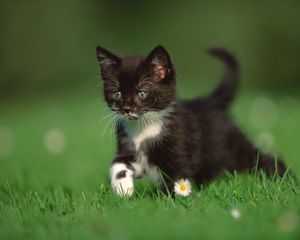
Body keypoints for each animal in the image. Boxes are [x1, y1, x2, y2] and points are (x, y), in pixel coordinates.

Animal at [95, 45, 286, 197]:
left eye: (142, 93)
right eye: (117, 94)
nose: (126, 108)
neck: (144, 127)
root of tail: (210, 101)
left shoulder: (179, 153)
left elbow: (176, 181)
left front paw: (167, 201)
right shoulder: (129, 147)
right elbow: (118, 164)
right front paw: (122, 189)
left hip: (232, 148)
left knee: (261, 158)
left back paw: (283, 177)